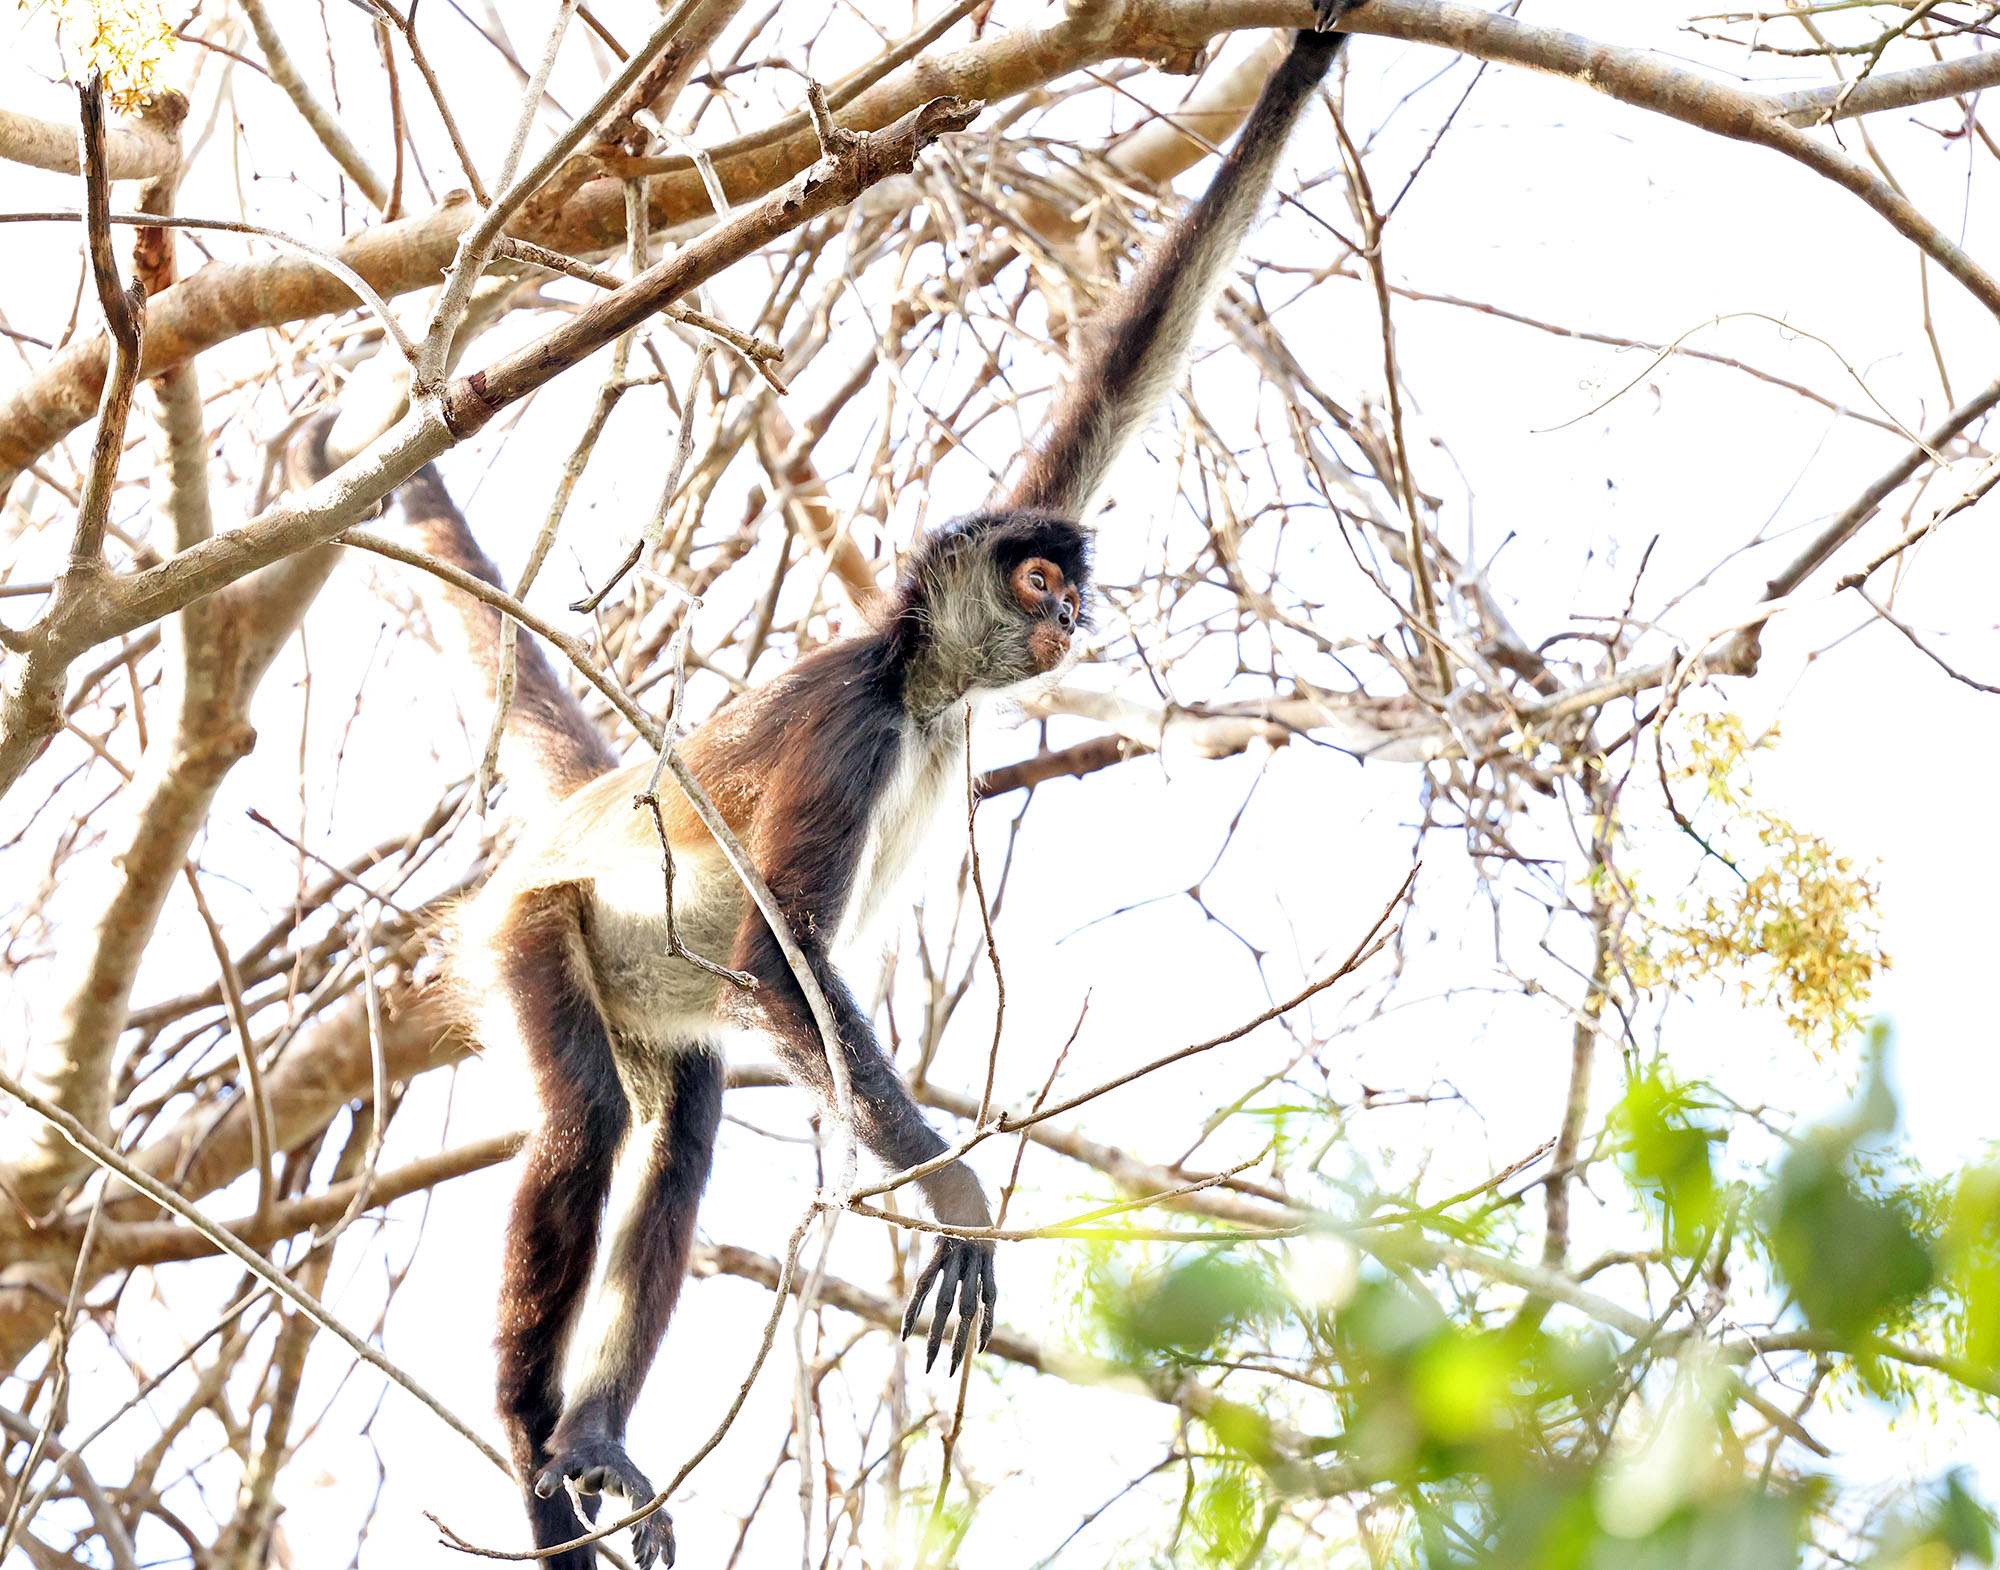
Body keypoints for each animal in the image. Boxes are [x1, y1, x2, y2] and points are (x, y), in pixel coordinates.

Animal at [312, 7, 1362, 1566]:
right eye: (1040, 584)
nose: (1073, 617)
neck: (921, 695)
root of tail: (576, 815)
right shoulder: (851, 722)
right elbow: (779, 950)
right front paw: (956, 1193)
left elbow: (1133, 354)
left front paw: (1306, 55)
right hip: (532, 929)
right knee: (586, 1126)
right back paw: (528, 1441)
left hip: (650, 1007)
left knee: (677, 1136)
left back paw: (593, 1434)